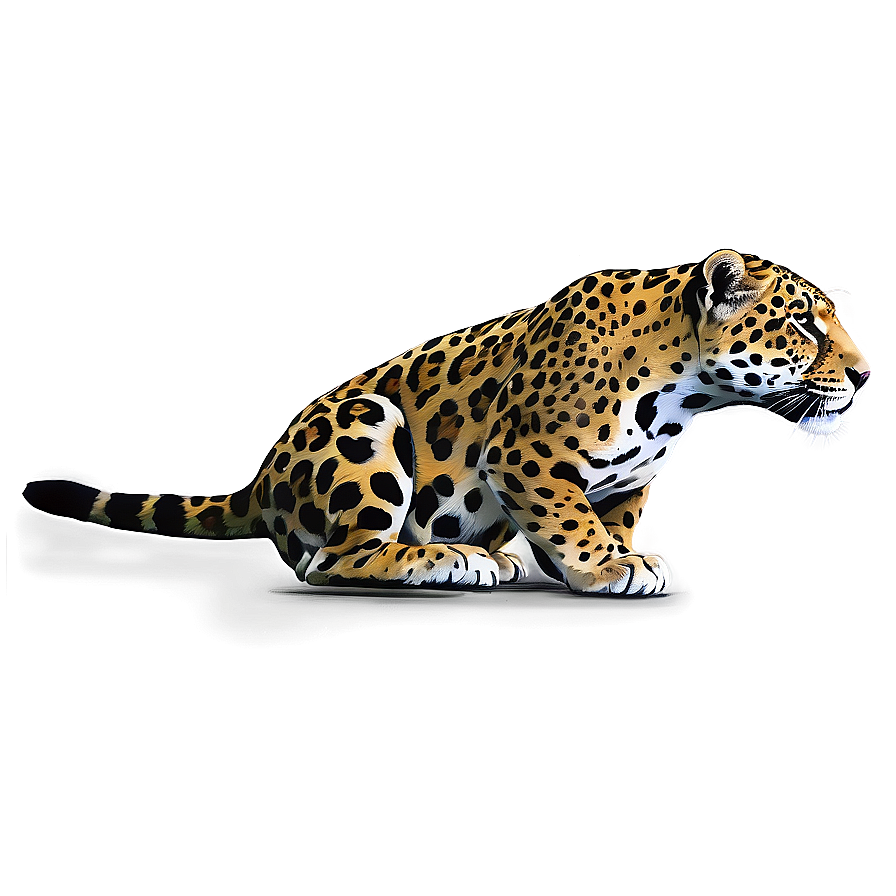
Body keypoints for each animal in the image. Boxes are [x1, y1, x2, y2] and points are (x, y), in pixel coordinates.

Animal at [23, 249, 871, 595]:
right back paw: (449, 560)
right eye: (803, 325)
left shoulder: (628, 483)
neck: (682, 398)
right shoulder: (525, 454)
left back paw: (489, 558)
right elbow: (570, 519)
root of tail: (261, 480)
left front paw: (623, 557)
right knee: (331, 562)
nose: (866, 375)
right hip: (366, 422)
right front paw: (607, 570)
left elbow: (609, 516)